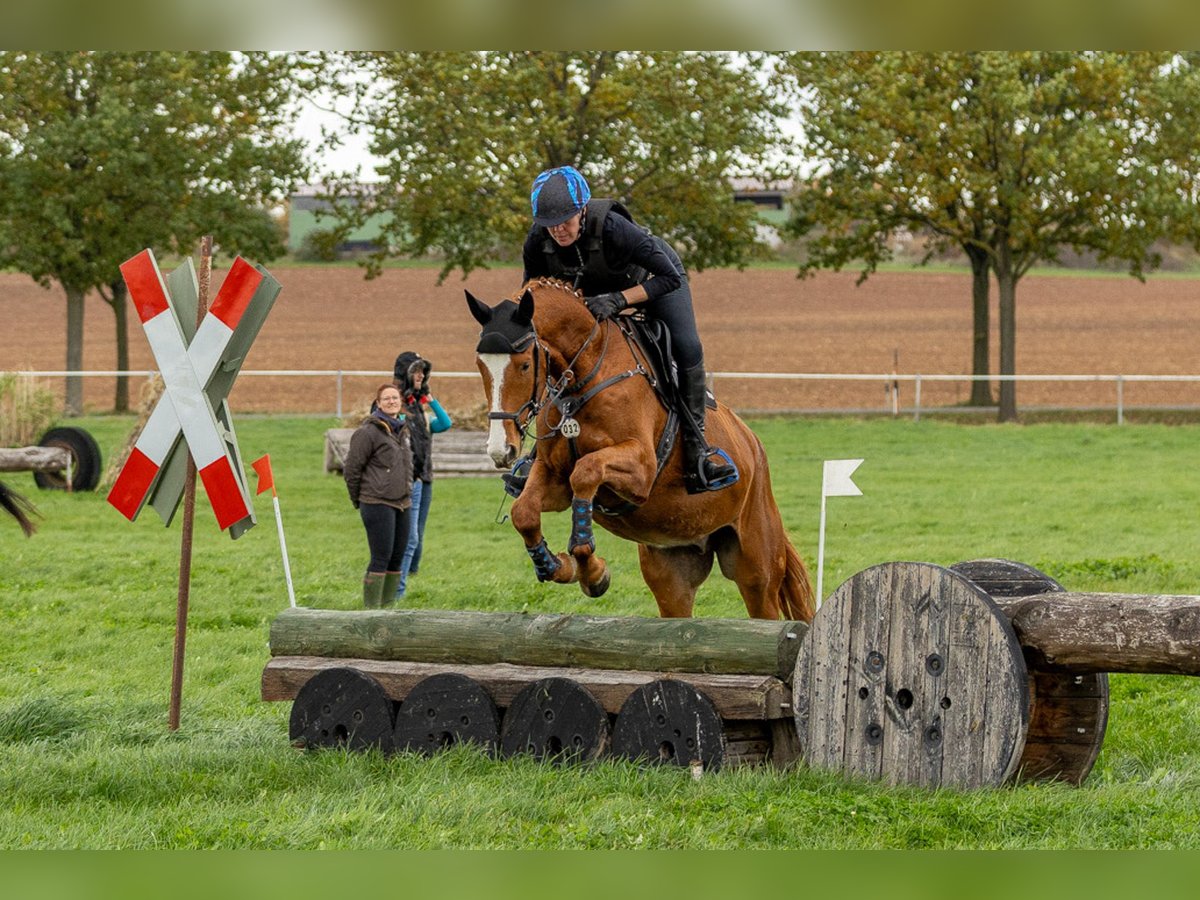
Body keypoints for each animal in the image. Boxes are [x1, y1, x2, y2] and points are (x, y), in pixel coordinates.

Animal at [466, 277, 815, 622]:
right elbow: (524, 512)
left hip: (755, 566)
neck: (586, 374)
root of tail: (753, 443)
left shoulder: (640, 471)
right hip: (672, 569)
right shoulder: (553, 476)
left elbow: (586, 472)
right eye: (480, 365)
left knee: (764, 604)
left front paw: (591, 569)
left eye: (525, 365)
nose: (501, 450)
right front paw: (560, 566)